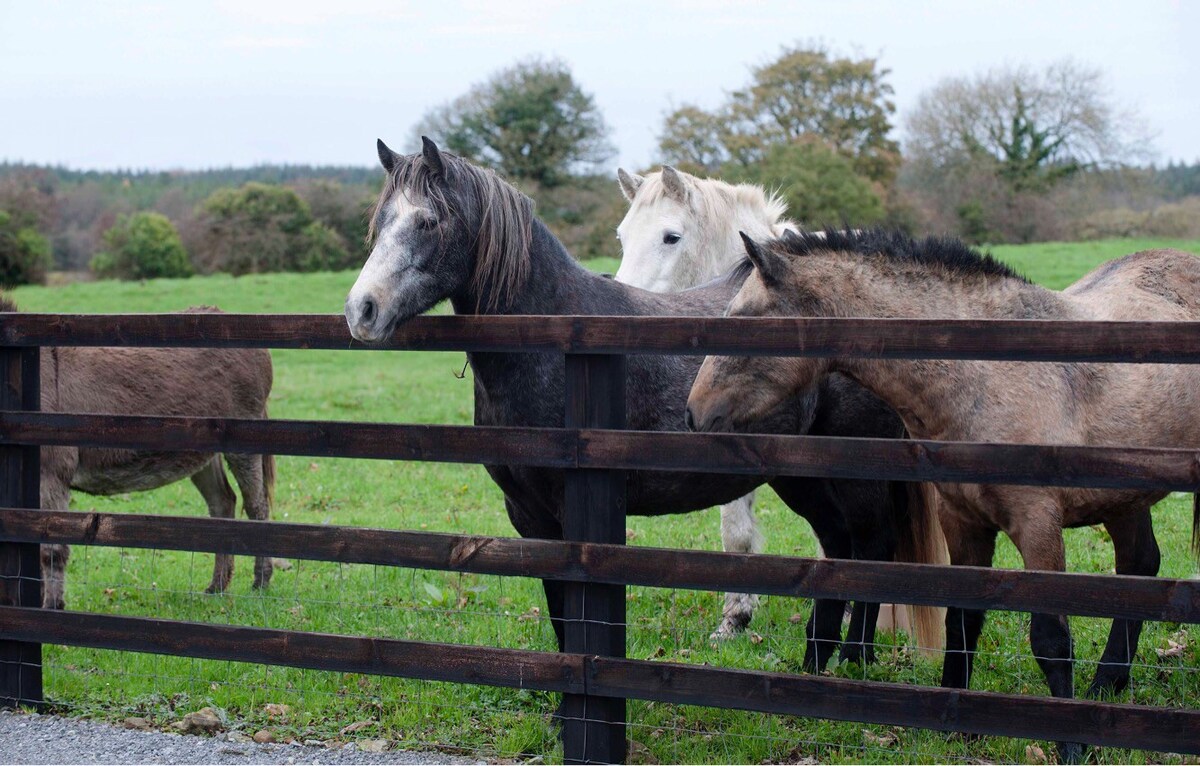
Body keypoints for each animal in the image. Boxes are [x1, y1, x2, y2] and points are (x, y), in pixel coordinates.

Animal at [1, 297, 276, 609]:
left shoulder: (52, 473)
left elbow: (51, 548)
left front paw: (51, 609)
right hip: (203, 452)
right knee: (223, 503)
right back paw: (216, 587)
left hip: (245, 439)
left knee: (256, 506)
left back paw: (260, 582)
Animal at [691, 230, 1195, 763]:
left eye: (744, 321)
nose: (694, 413)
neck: (990, 374)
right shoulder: (963, 520)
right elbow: (962, 620)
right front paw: (958, 727)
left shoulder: (1037, 523)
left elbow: (1050, 637)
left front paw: (1071, 744)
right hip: (1124, 499)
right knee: (1139, 565)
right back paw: (1106, 686)